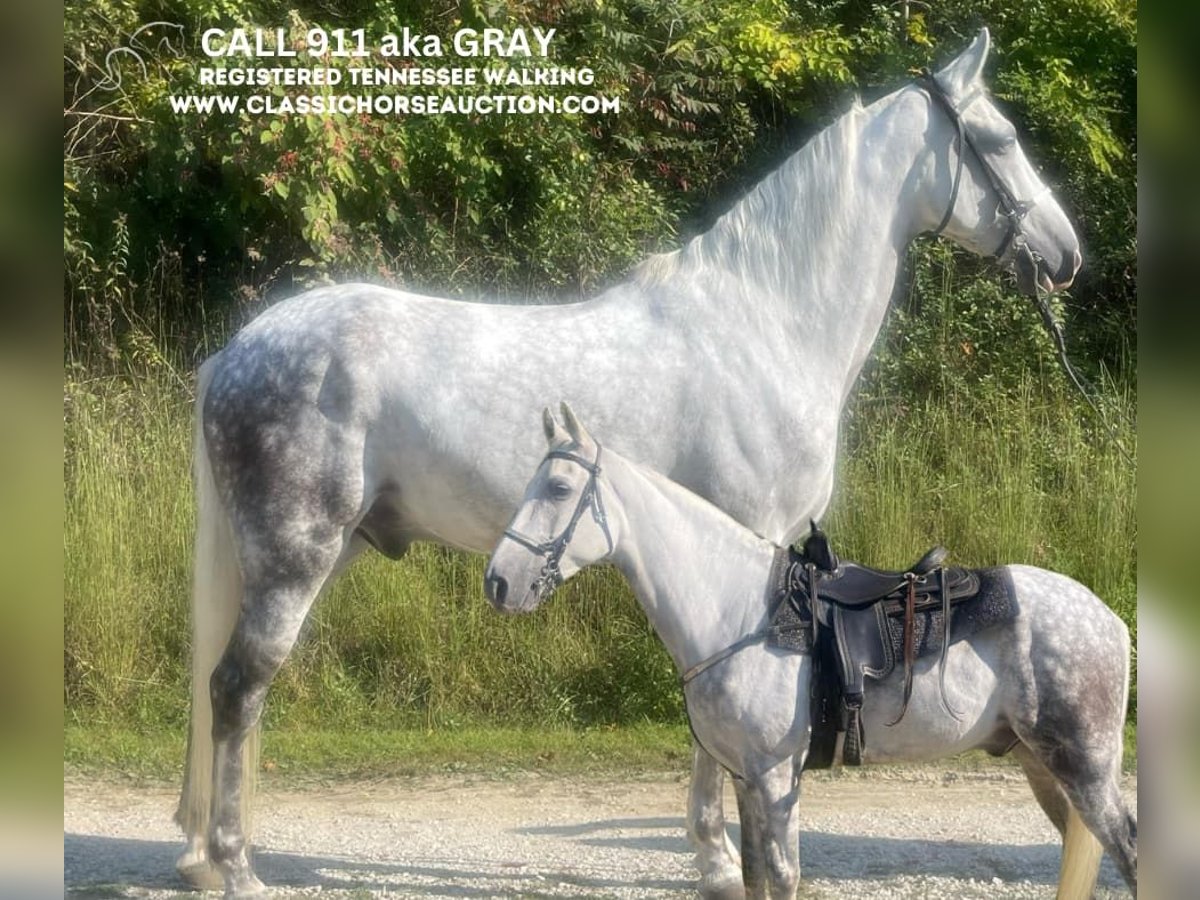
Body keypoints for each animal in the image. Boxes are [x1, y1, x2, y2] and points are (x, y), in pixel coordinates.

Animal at [484, 410, 1132, 900]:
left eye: (559, 489)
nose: (498, 583)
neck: (739, 610)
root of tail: (1108, 620)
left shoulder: (776, 777)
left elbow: (784, 875)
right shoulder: (745, 779)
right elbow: (754, 877)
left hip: (1086, 766)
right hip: (1042, 764)